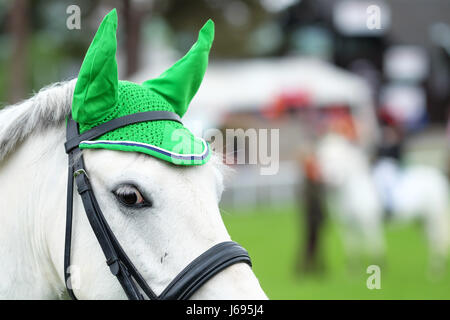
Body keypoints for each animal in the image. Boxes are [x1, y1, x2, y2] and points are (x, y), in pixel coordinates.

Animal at [316, 132, 450, 272]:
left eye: (340, 158)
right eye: (322, 156)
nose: (329, 179)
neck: (351, 192)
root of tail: (438, 177)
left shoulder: (369, 221)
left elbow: (373, 242)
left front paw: (379, 265)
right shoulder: (347, 226)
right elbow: (352, 246)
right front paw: (353, 269)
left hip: (434, 218)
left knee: (437, 240)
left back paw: (436, 269)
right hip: (421, 221)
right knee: (432, 240)